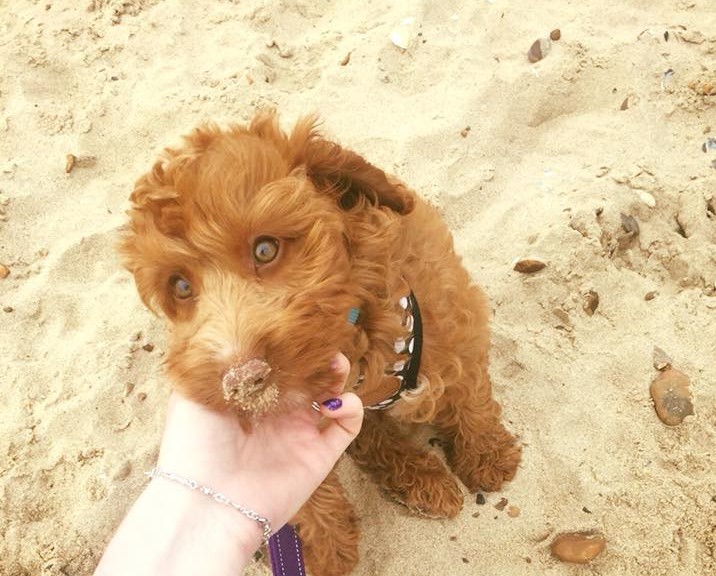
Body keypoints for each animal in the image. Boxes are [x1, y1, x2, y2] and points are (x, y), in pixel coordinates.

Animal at [121, 111, 520, 576]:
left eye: (265, 249)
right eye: (181, 287)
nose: (241, 382)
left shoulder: (454, 325)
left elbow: (470, 397)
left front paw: (487, 457)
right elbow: (310, 495)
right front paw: (327, 553)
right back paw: (424, 482)